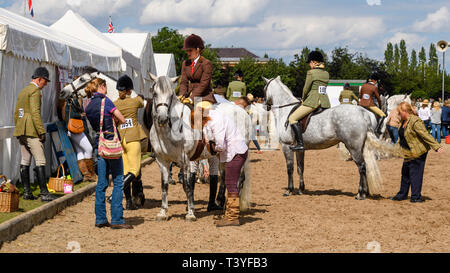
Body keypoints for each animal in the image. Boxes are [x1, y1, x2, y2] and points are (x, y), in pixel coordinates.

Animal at [148, 73, 253, 221]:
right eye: (155, 93)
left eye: (170, 95)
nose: (162, 119)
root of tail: (242, 111)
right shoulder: (162, 161)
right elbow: (164, 186)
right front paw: (163, 212)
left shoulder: (184, 160)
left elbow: (187, 185)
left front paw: (190, 213)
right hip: (223, 155)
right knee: (225, 177)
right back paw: (220, 203)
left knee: (240, 178)